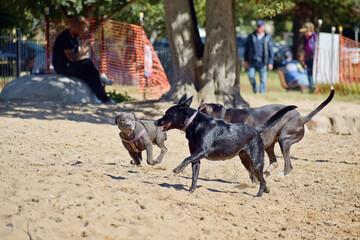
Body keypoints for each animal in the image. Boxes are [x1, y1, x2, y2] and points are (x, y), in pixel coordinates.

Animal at [155, 94, 296, 197]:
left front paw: (178, 168)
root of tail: (256, 130)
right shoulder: (196, 158)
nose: (156, 122)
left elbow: (186, 159)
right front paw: (191, 190)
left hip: (256, 161)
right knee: (261, 179)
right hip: (246, 161)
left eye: (167, 113)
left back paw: (259, 194)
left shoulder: (202, 151)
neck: (195, 124)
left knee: (261, 178)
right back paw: (266, 189)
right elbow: (194, 174)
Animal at [198, 87, 334, 180]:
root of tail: (302, 118)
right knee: (274, 162)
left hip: (284, 140)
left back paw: (278, 176)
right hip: (269, 145)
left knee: (288, 166)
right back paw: (266, 173)